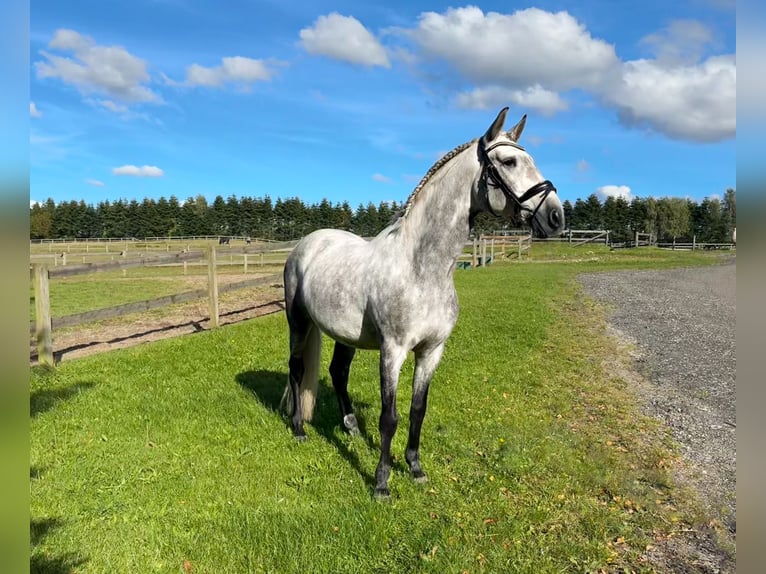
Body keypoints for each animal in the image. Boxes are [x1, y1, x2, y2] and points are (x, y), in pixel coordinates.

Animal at [280, 109, 564, 500]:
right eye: (509, 162)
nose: (556, 216)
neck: (421, 268)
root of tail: (307, 244)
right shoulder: (393, 350)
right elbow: (389, 417)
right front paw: (382, 483)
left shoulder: (431, 351)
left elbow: (417, 410)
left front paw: (415, 468)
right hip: (299, 321)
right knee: (296, 368)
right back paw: (298, 429)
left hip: (344, 335)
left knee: (338, 372)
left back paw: (351, 427)